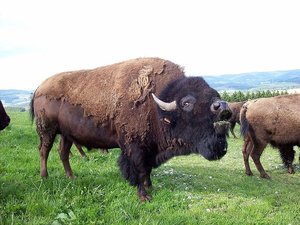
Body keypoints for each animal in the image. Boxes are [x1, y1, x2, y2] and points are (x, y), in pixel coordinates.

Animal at [30, 57, 231, 200]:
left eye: (215, 94)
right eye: (187, 102)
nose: (222, 107)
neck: (158, 103)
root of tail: (39, 87)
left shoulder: (149, 148)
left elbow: (147, 170)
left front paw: (150, 186)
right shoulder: (134, 147)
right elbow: (138, 169)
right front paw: (144, 196)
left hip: (66, 134)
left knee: (62, 153)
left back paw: (72, 178)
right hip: (47, 130)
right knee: (44, 150)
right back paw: (45, 177)